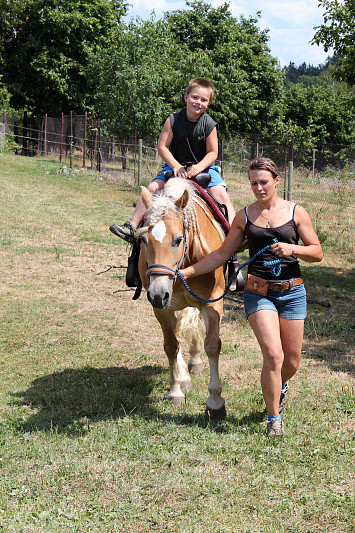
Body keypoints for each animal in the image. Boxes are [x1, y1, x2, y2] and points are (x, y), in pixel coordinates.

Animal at [138, 179, 227, 420]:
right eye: (143, 239)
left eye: (178, 239)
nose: (157, 294)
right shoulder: (162, 308)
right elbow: (171, 345)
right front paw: (176, 390)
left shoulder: (213, 302)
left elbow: (212, 345)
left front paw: (215, 402)